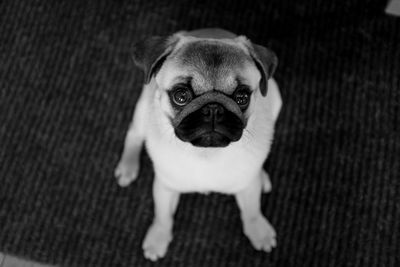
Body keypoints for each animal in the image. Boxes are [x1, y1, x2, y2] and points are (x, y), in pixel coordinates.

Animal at [114, 28, 282, 260]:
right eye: (181, 96)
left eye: (242, 97)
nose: (213, 109)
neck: (206, 154)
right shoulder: (165, 186)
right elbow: (162, 215)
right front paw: (158, 237)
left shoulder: (248, 188)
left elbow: (252, 210)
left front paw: (258, 230)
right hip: (142, 111)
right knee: (134, 135)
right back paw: (127, 167)